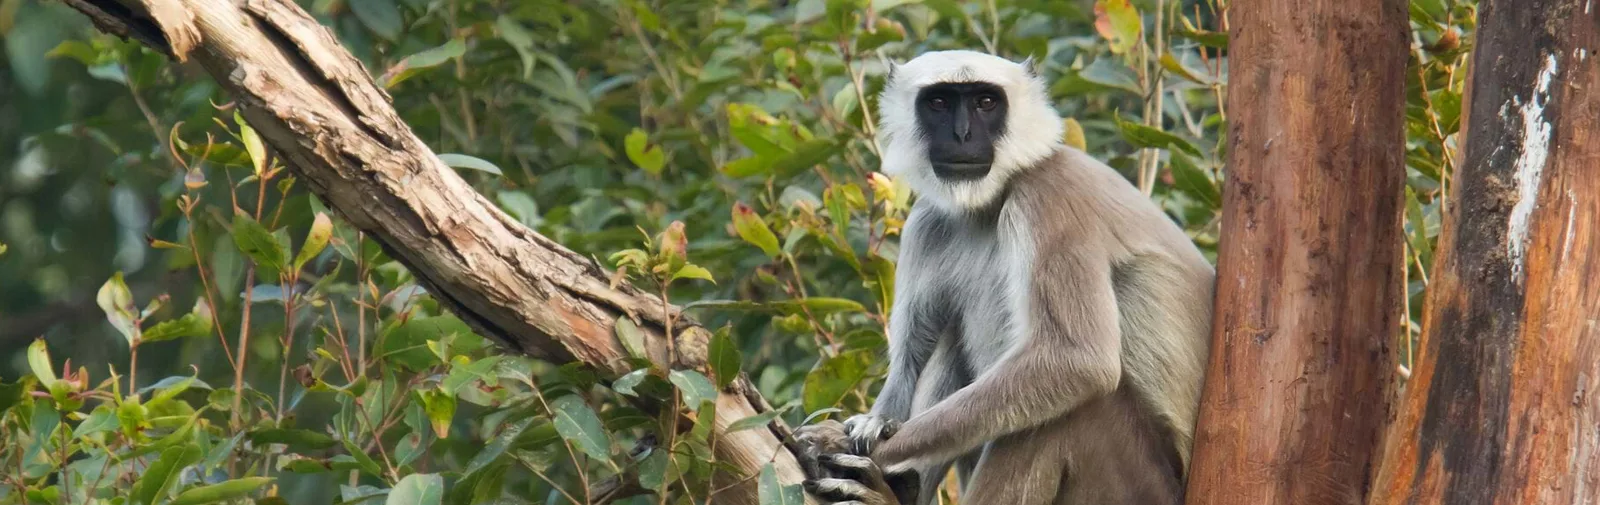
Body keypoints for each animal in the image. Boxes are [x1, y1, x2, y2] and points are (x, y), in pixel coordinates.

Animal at [795, 50, 1216, 505]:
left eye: (986, 103)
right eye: (939, 102)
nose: (962, 135)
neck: (991, 201)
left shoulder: (1047, 195)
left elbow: (1078, 360)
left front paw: (841, 443)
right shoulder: (926, 221)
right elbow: (913, 350)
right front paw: (874, 425)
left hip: (1140, 487)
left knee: (1070, 410)